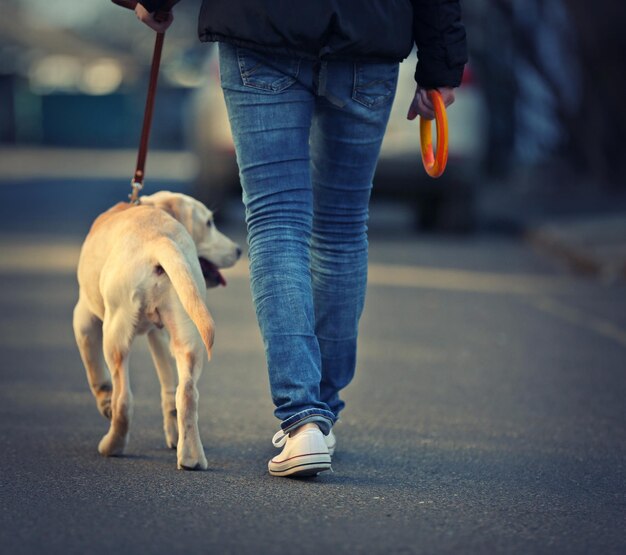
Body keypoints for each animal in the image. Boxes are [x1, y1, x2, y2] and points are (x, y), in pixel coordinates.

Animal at [72, 191, 240, 470]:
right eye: (208, 223)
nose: (239, 250)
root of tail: (158, 239)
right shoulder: (159, 334)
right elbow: (168, 386)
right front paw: (173, 434)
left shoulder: (83, 318)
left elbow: (94, 370)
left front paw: (104, 400)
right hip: (188, 334)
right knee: (186, 393)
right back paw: (191, 457)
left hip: (115, 334)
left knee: (124, 399)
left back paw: (112, 445)